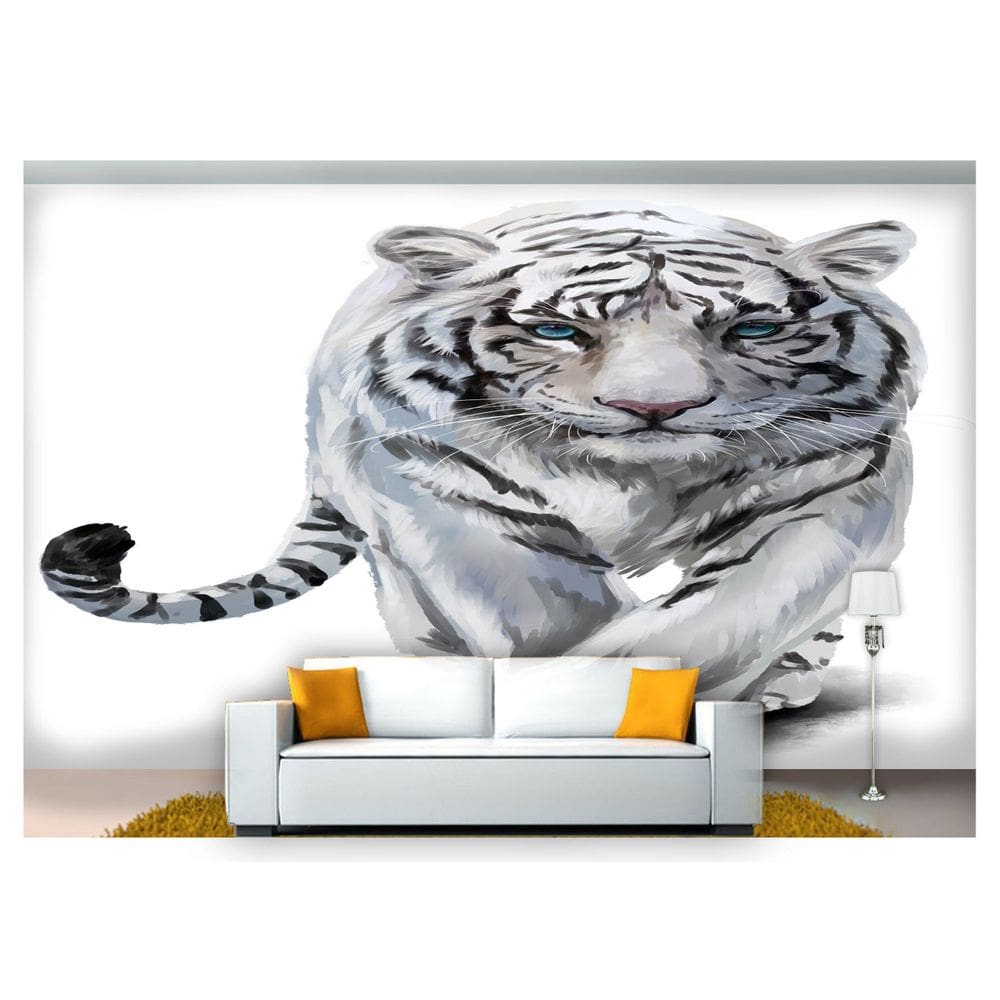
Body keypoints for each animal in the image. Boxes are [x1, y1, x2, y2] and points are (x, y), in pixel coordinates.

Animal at [41, 200, 925, 709]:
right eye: (558, 330)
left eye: (755, 328)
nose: (654, 409)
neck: (637, 479)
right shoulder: (440, 481)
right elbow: (549, 617)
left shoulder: (832, 485)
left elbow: (725, 614)